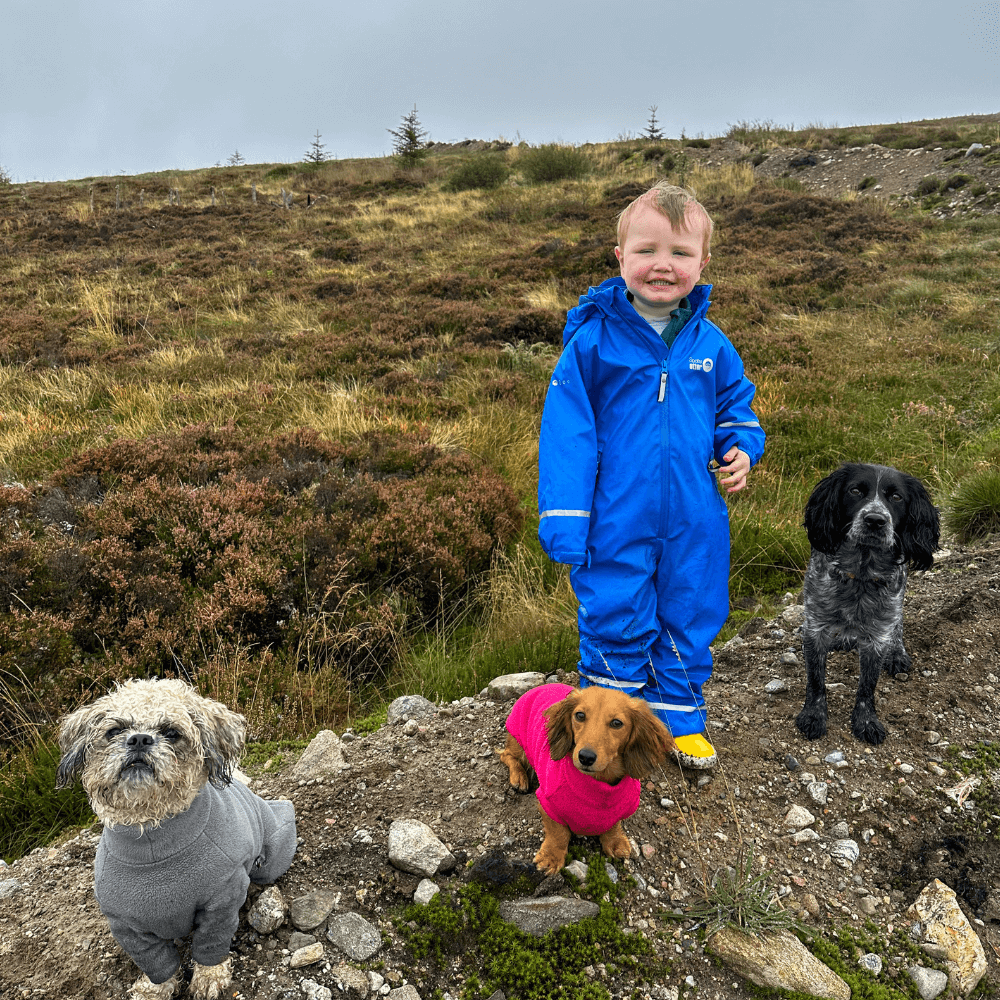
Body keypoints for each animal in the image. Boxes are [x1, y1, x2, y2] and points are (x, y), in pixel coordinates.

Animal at [57, 680, 296, 1000]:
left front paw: (209, 977)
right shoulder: (128, 928)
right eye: (114, 730)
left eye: (171, 732)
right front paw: (153, 989)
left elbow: (210, 944)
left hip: (271, 859)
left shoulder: (220, 904)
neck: (152, 838)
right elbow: (156, 962)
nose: (139, 739)